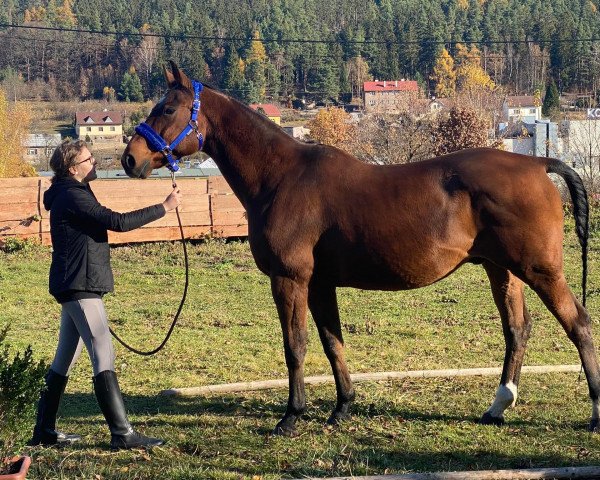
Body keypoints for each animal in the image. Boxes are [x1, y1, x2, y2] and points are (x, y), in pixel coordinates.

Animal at [122, 62, 600, 436]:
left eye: (167, 109)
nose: (131, 159)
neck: (281, 177)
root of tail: (538, 163)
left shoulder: (290, 279)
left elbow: (295, 345)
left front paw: (291, 416)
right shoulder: (319, 285)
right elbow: (332, 342)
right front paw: (342, 408)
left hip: (540, 270)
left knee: (578, 324)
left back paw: (593, 414)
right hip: (501, 269)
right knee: (517, 330)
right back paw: (497, 406)